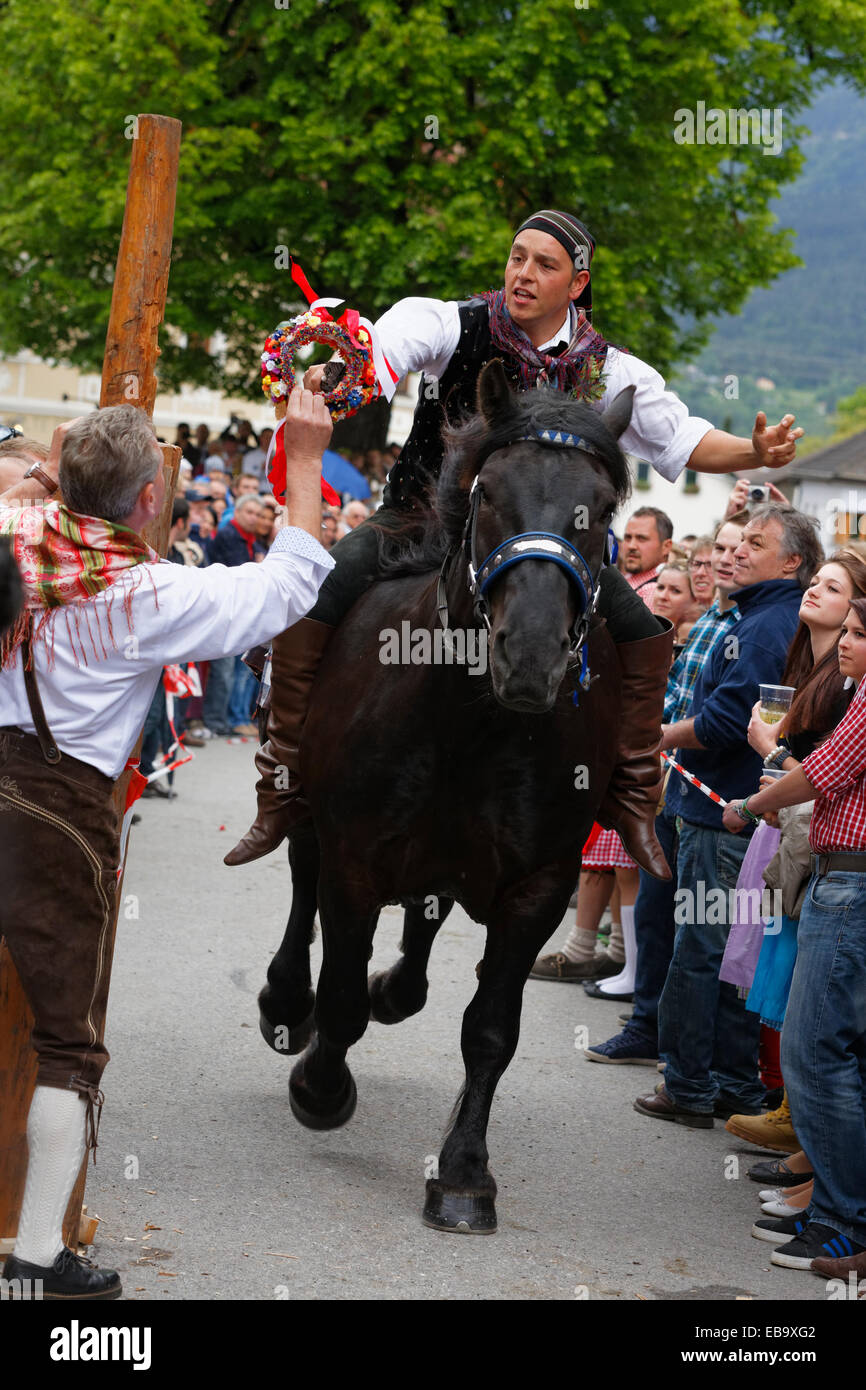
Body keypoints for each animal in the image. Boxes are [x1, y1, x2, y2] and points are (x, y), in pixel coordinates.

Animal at [257, 364, 636, 1234]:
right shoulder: (355, 859)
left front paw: (464, 1174)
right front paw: (320, 1089)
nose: (529, 656)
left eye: (602, 509)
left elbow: (491, 1030)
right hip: (315, 814)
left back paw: (395, 990)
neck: (476, 722)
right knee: (300, 881)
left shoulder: (539, 887)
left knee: (422, 932)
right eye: (489, 489)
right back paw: (286, 1003)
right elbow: (339, 995)